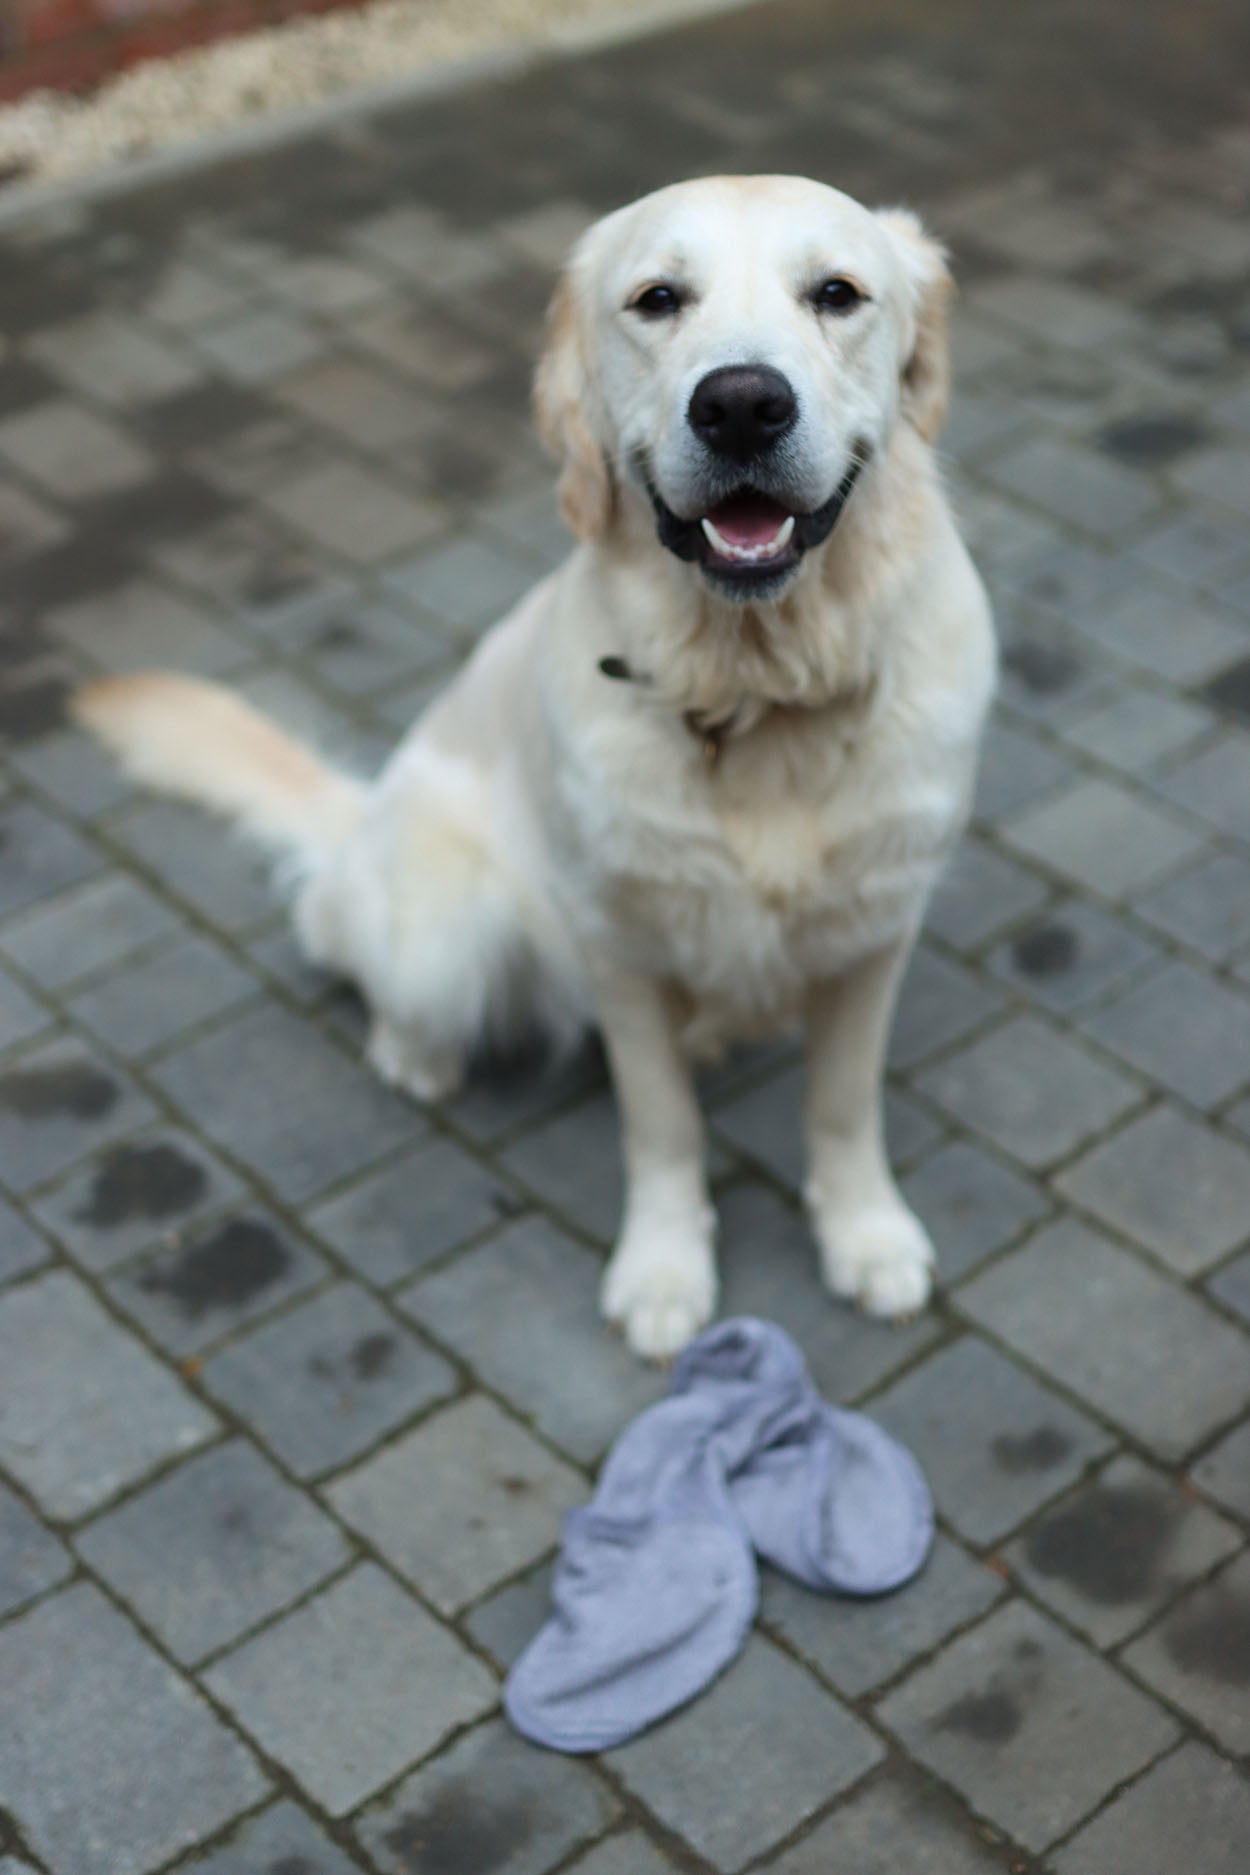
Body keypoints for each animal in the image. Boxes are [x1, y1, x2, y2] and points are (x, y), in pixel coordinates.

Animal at [78, 176, 997, 1365]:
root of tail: (364, 819)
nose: (742, 404)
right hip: (444, 926)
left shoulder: (877, 929)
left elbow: (842, 1106)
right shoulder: (616, 945)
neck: (753, 691)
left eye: (836, 294)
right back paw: (413, 1053)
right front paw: (663, 1270)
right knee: (342, 938)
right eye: (657, 299)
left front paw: (865, 1234)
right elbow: (661, 1127)